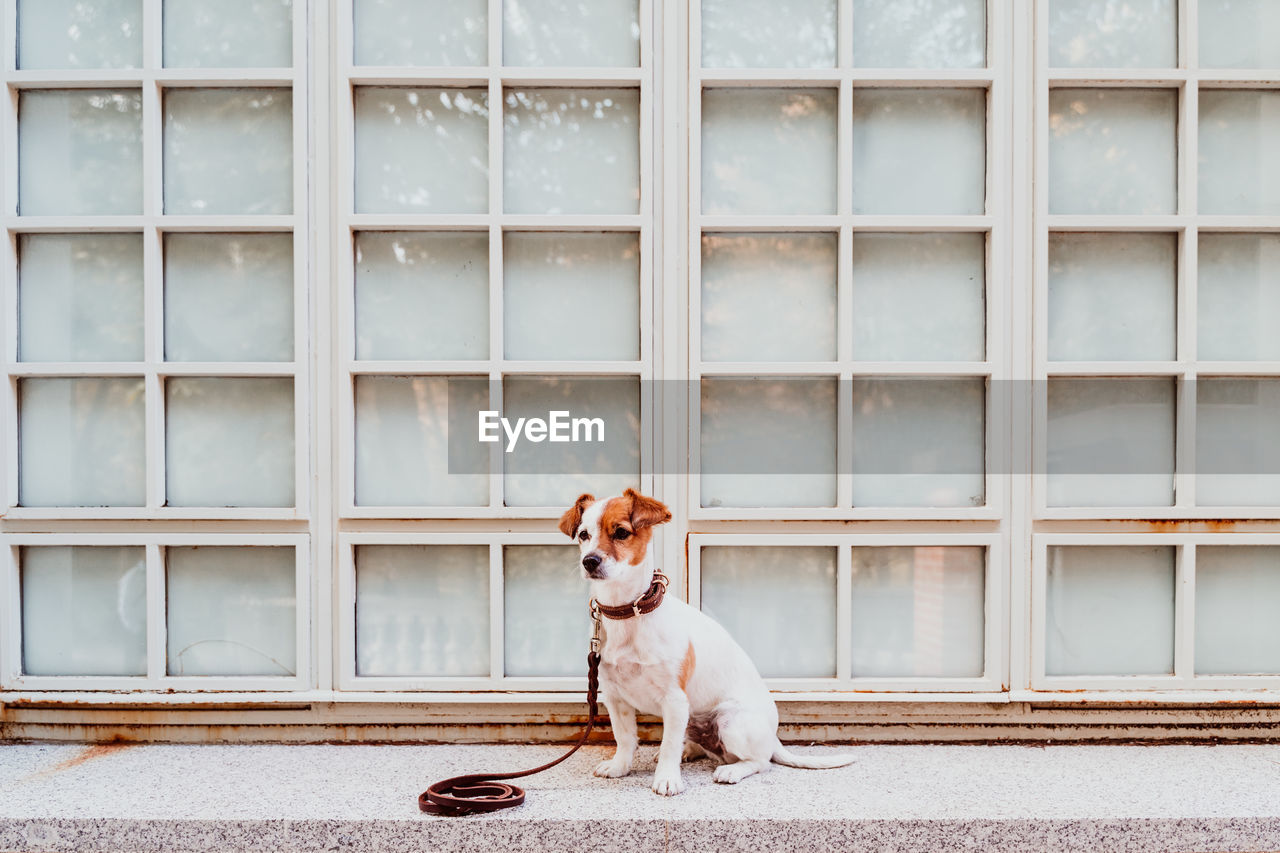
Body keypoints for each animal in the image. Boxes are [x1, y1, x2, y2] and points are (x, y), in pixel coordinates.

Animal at [558, 489, 849, 794]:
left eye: (621, 532)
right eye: (583, 535)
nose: (589, 561)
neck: (627, 613)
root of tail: (773, 736)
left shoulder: (674, 700)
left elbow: (668, 745)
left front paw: (667, 778)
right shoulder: (615, 698)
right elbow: (625, 738)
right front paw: (620, 767)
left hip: (729, 720)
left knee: (760, 761)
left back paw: (731, 770)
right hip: (692, 720)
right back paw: (690, 751)